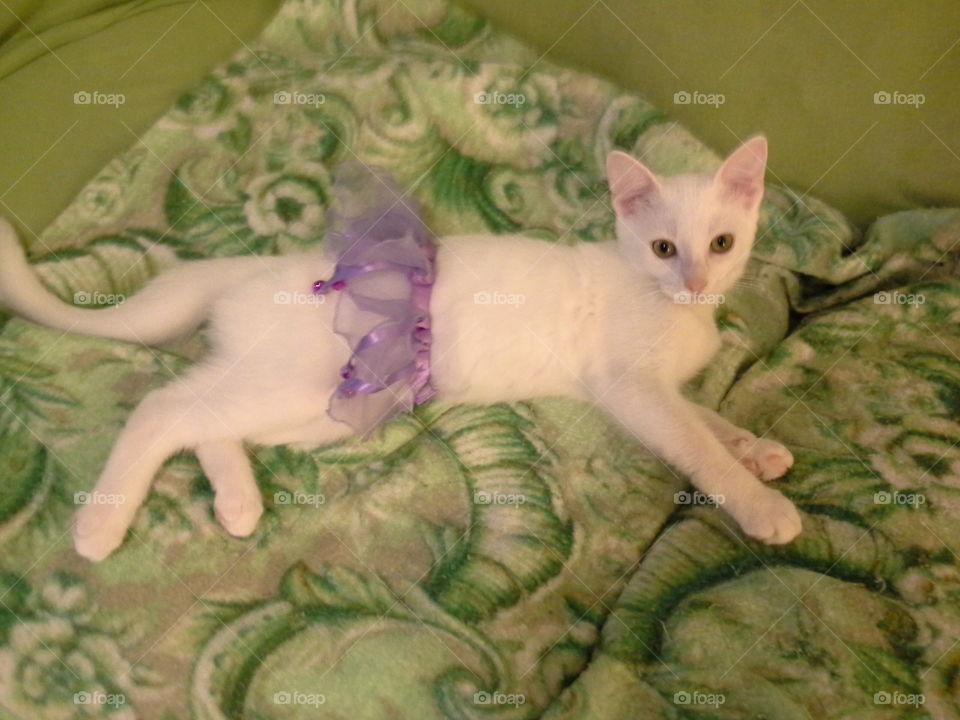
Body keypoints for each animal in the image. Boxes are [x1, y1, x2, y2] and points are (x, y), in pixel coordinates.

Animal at [0, 136, 804, 564]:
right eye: (664, 247)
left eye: (722, 244)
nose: (696, 280)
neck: (668, 306)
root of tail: (252, 268)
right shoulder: (631, 389)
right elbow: (697, 447)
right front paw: (760, 503)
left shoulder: (663, 391)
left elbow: (707, 421)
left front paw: (756, 447)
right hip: (297, 386)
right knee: (164, 408)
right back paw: (100, 525)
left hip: (314, 404)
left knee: (203, 417)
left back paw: (237, 501)